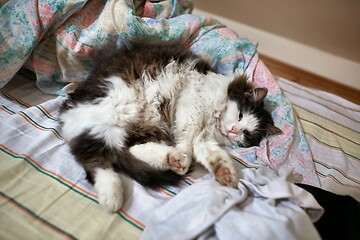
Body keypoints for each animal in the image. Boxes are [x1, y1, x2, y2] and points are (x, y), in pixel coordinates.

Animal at [59, 42, 282, 213]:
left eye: (247, 133)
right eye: (240, 114)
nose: (234, 130)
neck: (213, 121)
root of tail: (67, 108)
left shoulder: (204, 137)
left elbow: (208, 153)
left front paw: (225, 173)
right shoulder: (192, 105)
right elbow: (188, 138)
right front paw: (185, 154)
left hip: (143, 128)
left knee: (126, 149)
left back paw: (171, 159)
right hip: (115, 109)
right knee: (95, 157)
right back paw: (112, 196)